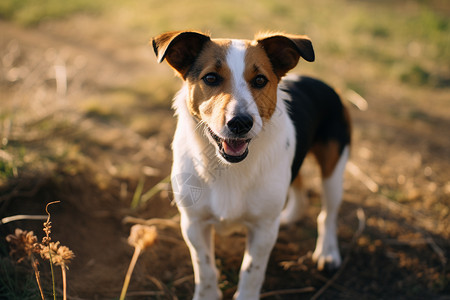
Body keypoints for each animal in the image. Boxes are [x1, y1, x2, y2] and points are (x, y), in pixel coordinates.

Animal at [151, 31, 352, 300]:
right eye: (211, 78)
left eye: (259, 80)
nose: (240, 123)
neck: (229, 167)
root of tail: (326, 84)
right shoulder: (193, 223)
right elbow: (205, 268)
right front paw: (207, 294)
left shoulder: (263, 229)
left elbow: (251, 271)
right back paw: (290, 216)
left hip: (334, 169)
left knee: (327, 214)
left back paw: (328, 252)